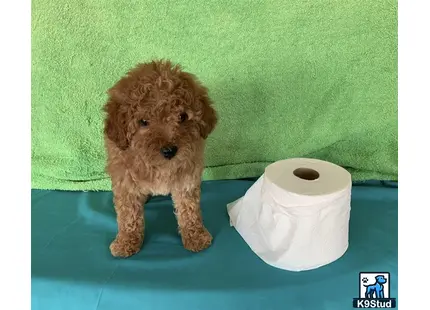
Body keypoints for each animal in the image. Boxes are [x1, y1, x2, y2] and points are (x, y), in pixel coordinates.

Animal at [103, 60, 218, 256]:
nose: (169, 151)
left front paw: (195, 235)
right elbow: (128, 214)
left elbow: (189, 208)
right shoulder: (125, 180)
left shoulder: (187, 178)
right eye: (143, 122)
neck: (158, 165)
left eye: (182, 116)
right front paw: (126, 241)